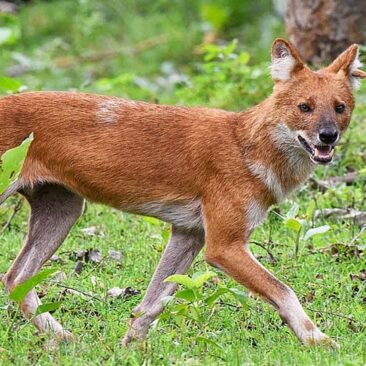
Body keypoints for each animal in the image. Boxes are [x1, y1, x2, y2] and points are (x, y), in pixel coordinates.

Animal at [0, 38, 364, 348]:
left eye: (340, 107)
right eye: (304, 107)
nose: (327, 136)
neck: (246, 147)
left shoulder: (189, 233)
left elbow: (151, 305)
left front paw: (130, 349)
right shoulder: (223, 246)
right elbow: (285, 291)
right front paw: (321, 342)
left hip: (65, 210)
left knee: (16, 278)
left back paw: (63, 339)